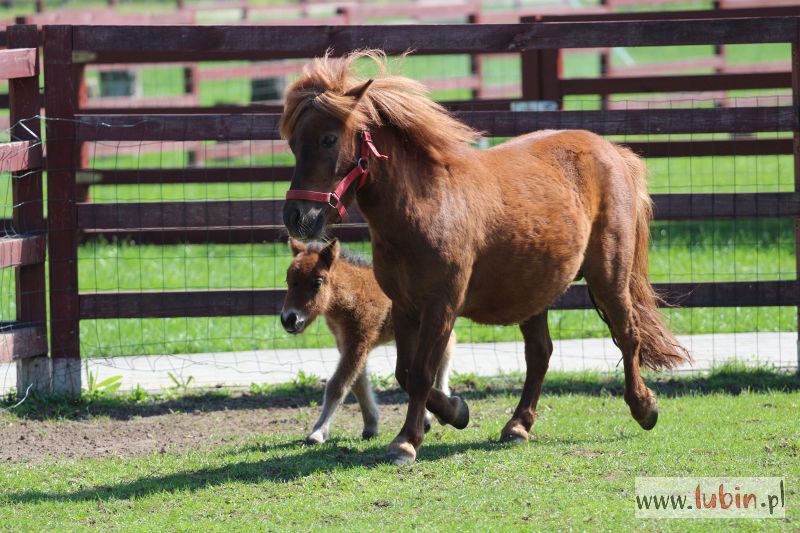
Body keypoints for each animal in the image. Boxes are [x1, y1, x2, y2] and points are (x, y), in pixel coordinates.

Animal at [282, 239, 456, 442]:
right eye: (288, 280)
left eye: (317, 283)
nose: (288, 319)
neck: (353, 294)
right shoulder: (347, 343)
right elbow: (359, 383)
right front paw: (371, 425)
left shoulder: (359, 341)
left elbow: (337, 385)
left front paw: (318, 432)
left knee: (447, 348)